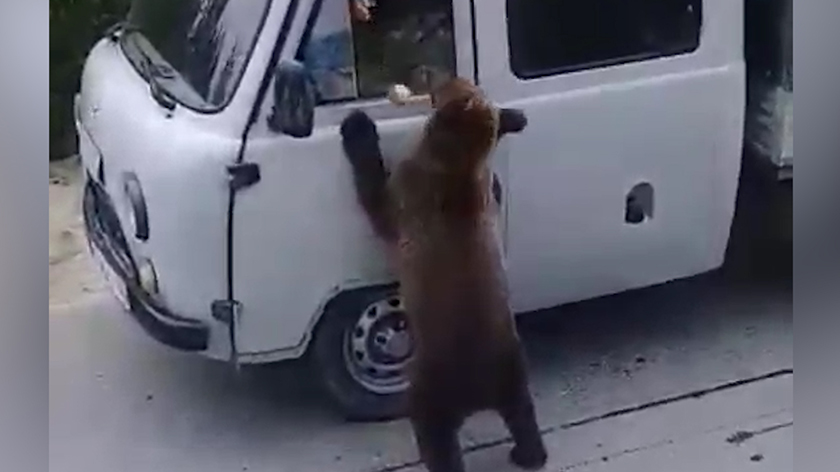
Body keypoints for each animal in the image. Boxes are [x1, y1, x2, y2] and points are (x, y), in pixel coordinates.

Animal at [338, 78, 548, 472]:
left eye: (449, 84)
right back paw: (529, 453)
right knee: (522, 411)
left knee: (433, 431)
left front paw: (357, 127)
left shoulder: (407, 197)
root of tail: (479, 393)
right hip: (510, 364)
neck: (456, 166)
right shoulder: (480, 195)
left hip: (431, 383)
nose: (433, 80)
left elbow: (374, 197)